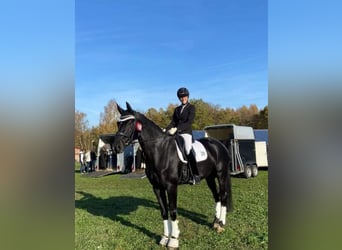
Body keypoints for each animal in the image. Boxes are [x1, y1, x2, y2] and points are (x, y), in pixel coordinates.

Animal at [112, 102, 232, 250]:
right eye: (118, 123)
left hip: (221, 175)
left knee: (223, 196)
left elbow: (173, 210)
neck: (160, 150)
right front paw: (164, 238)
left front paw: (174, 240)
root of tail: (219, 144)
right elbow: (164, 211)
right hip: (210, 177)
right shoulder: (157, 187)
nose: (116, 147)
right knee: (217, 197)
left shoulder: (171, 186)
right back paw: (215, 222)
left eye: (130, 122)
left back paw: (221, 224)